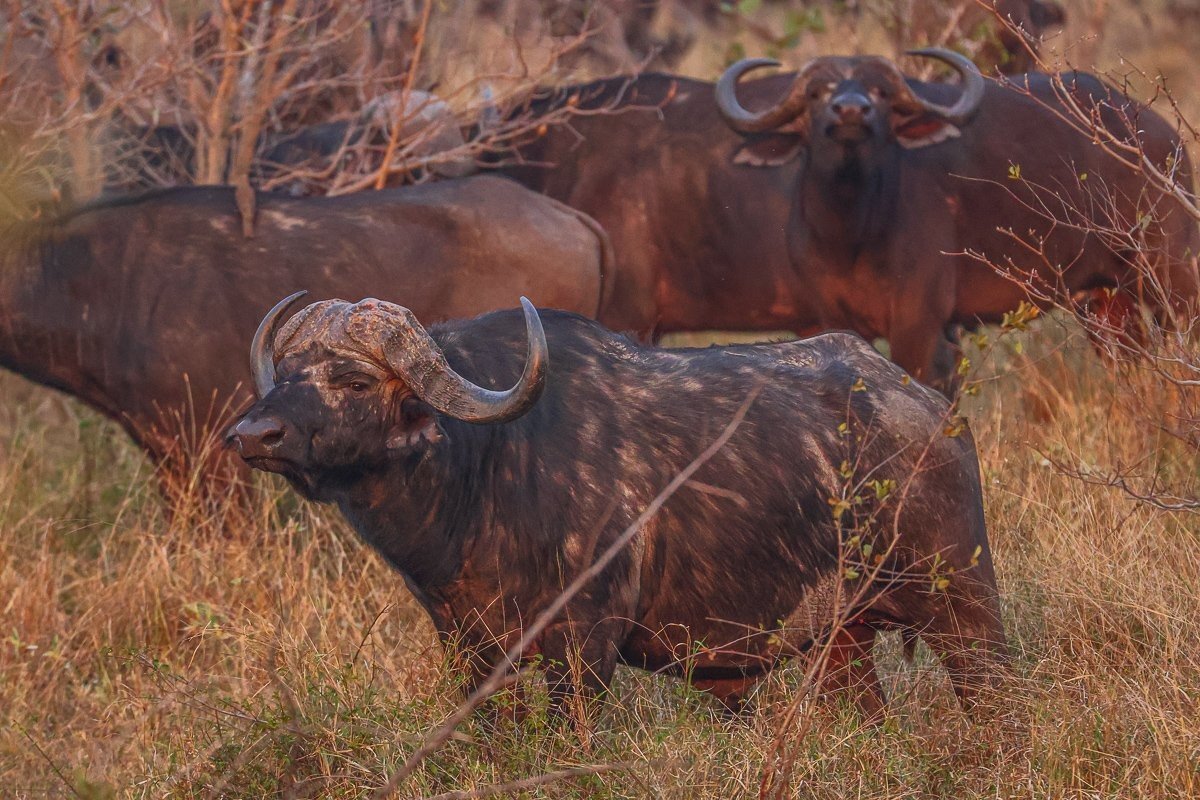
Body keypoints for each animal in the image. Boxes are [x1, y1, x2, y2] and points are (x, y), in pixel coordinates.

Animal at [226, 294, 1008, 719]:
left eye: (353, 379)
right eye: (287, 371)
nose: (252, 435)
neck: (488, 473)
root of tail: (934, 414)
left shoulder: (583, 650)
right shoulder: (473, 654)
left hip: (966, 610)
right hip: (843, 641)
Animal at [716, 49, 1200, 391]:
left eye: (881, 92)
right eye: (817, 93)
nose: (851, 111)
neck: (851, 235)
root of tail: (1165, 140)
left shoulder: (919, 324)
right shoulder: (831, 319)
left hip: (1170, 273)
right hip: (1105, 299)